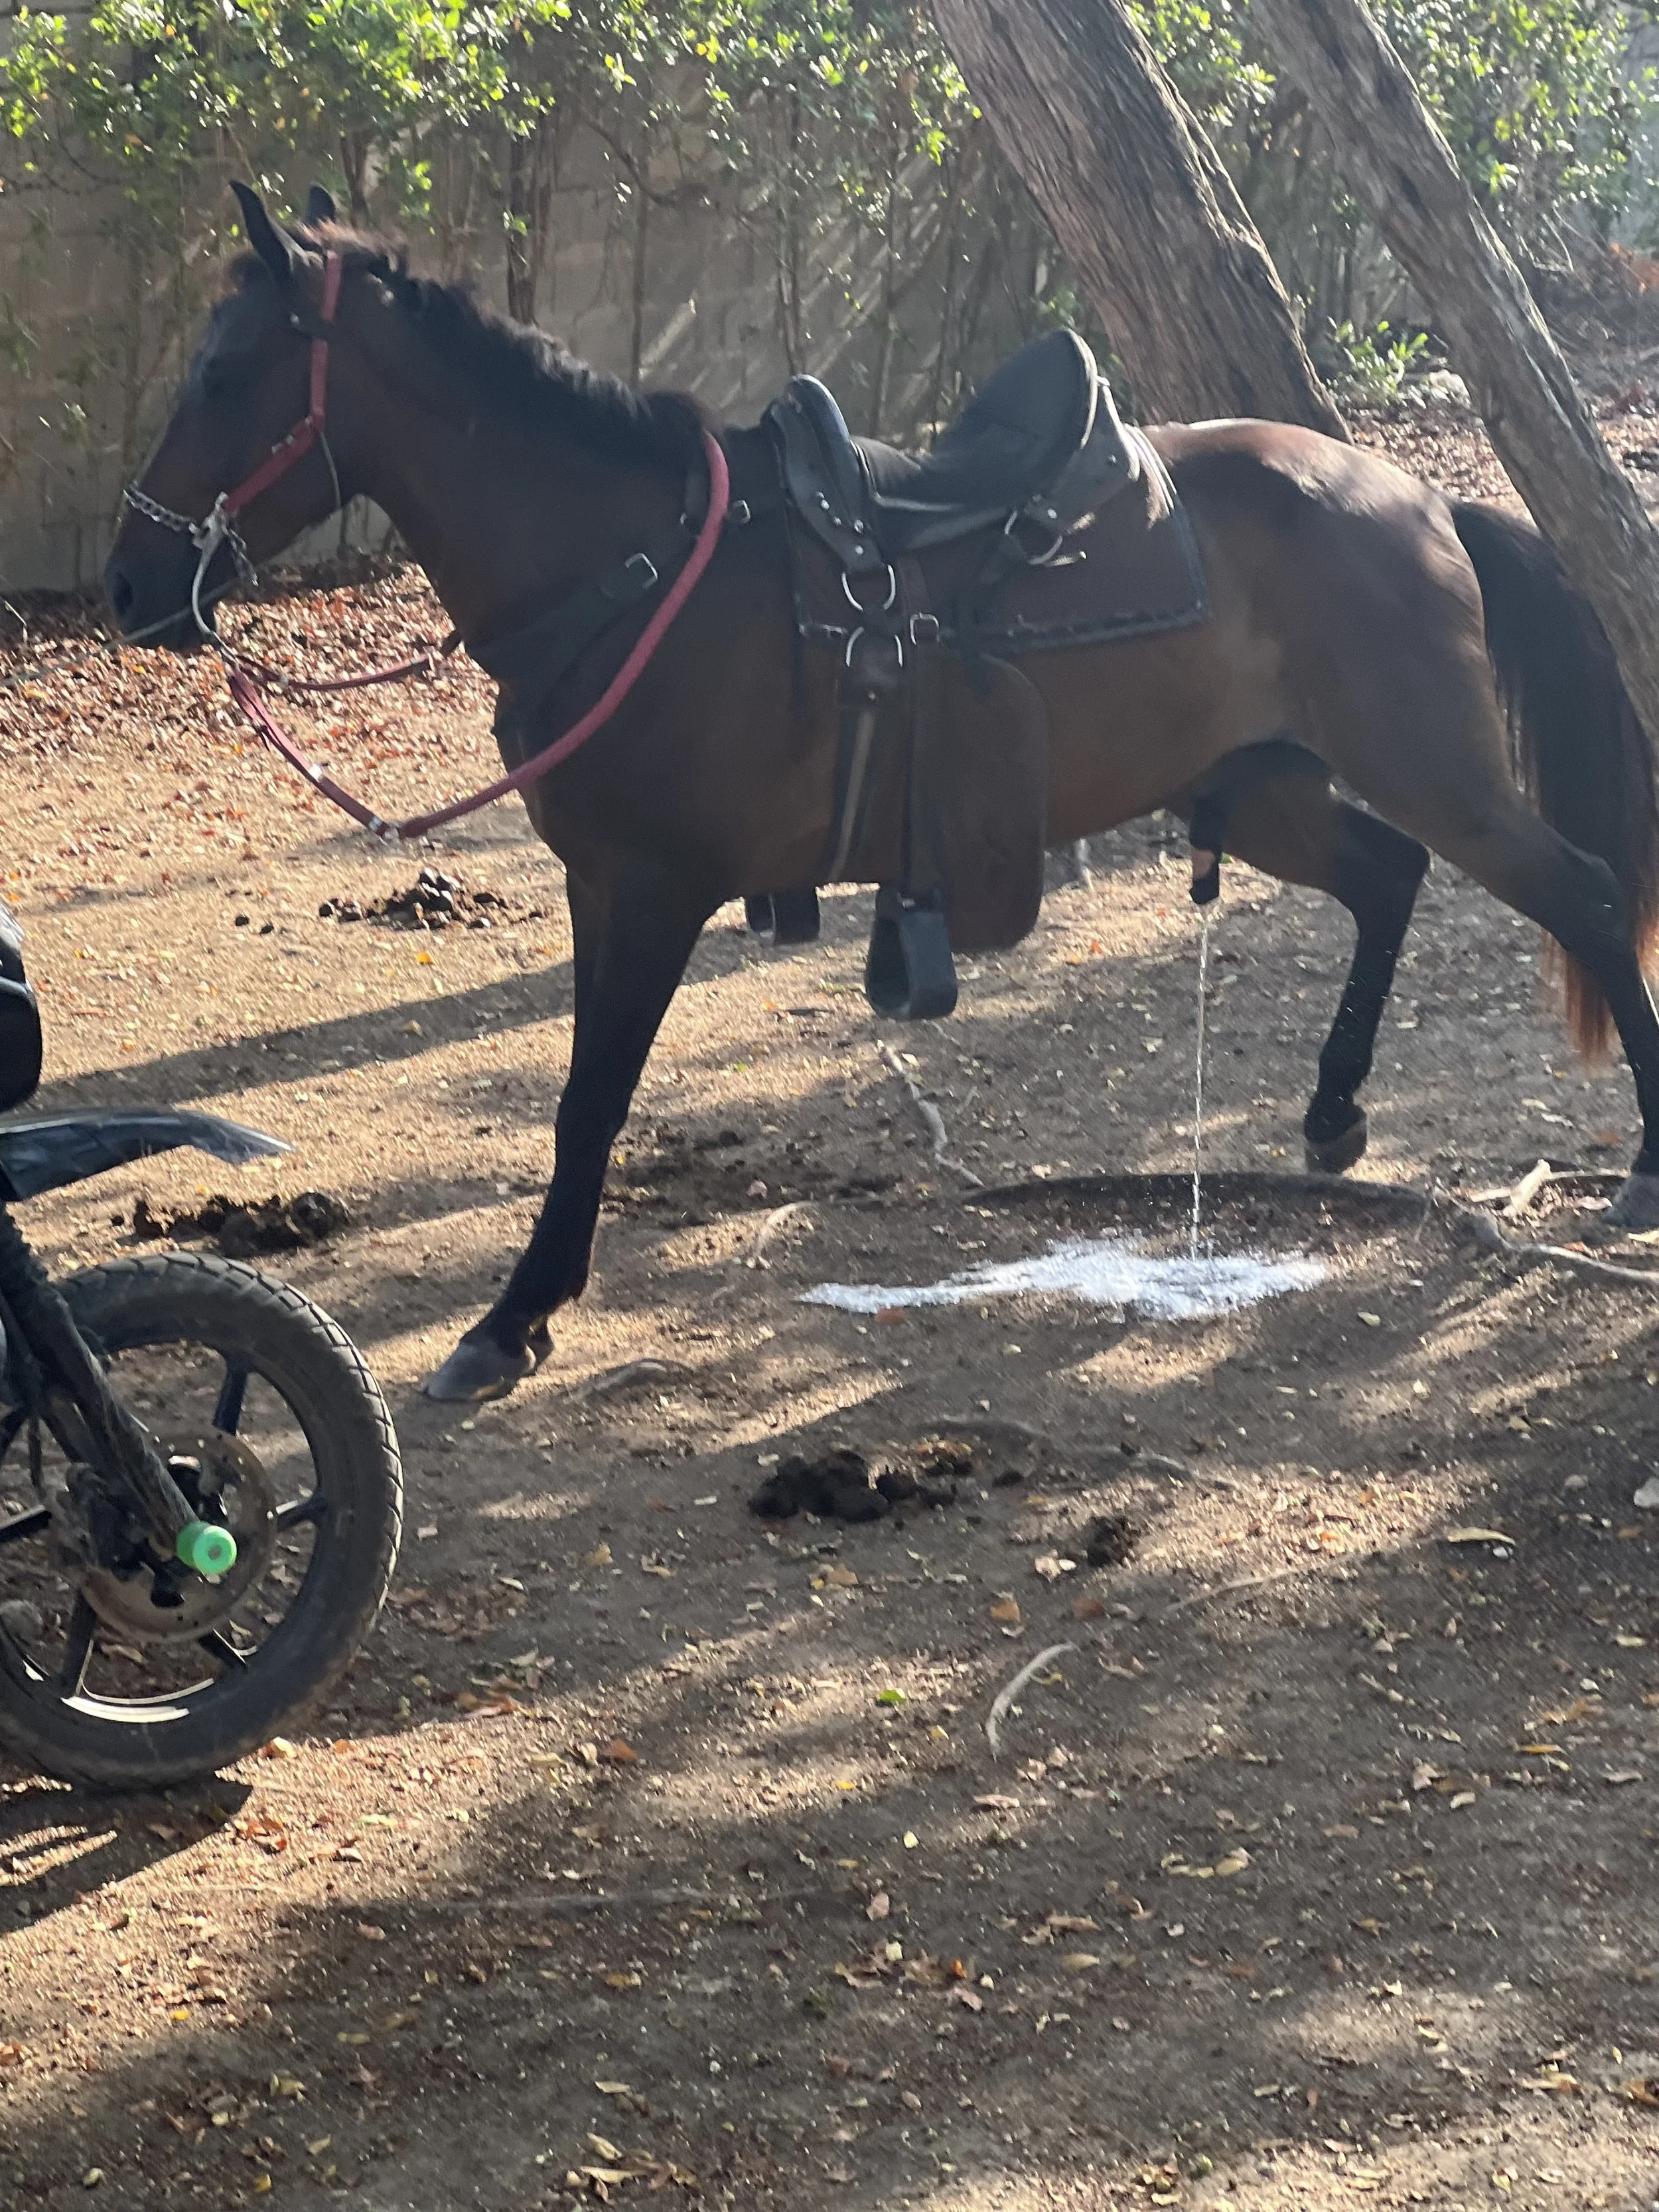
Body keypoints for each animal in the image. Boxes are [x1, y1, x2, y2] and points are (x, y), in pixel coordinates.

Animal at [104, 186, 1659, 1403]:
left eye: (226, 372)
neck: (633, 567)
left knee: (1580, 891)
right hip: (1261, 781)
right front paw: (530, 1305)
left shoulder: (655, 890)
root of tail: (1415, 494)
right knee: (1389, 877)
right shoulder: (602, 886)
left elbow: (587, 1105)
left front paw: (514, 1315)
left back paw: (1637, 1168)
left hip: (1431, 768)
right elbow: (576, 1100)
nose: (128, 583)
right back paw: (1333, 1110)